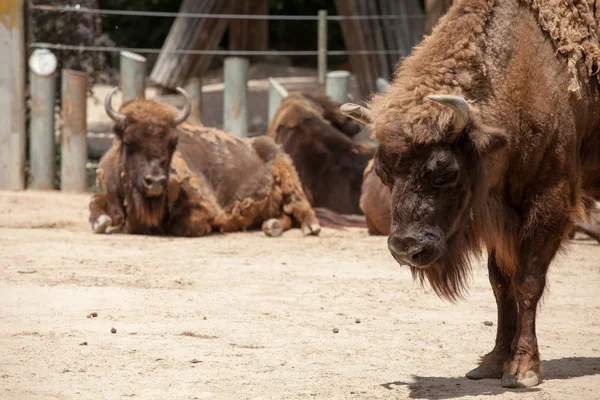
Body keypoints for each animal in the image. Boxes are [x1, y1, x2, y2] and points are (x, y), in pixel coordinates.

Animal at [88, 87, 322, 238]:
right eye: (128, 141)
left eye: (173, 142)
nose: (155, 182)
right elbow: (96, 204)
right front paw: (104, 221)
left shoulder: (203, 207)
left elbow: (181, 225)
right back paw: (271, 225)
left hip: (287, 173)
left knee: (300, 205)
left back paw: (310, 228)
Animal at [342, 0, 600, 390]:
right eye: (383, 173)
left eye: (445, 171)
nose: (406, 248)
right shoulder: (496, 215)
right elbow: (500, 284)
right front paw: (492, 362)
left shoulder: (549, 202)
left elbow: (528, 282)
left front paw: (523, 369)